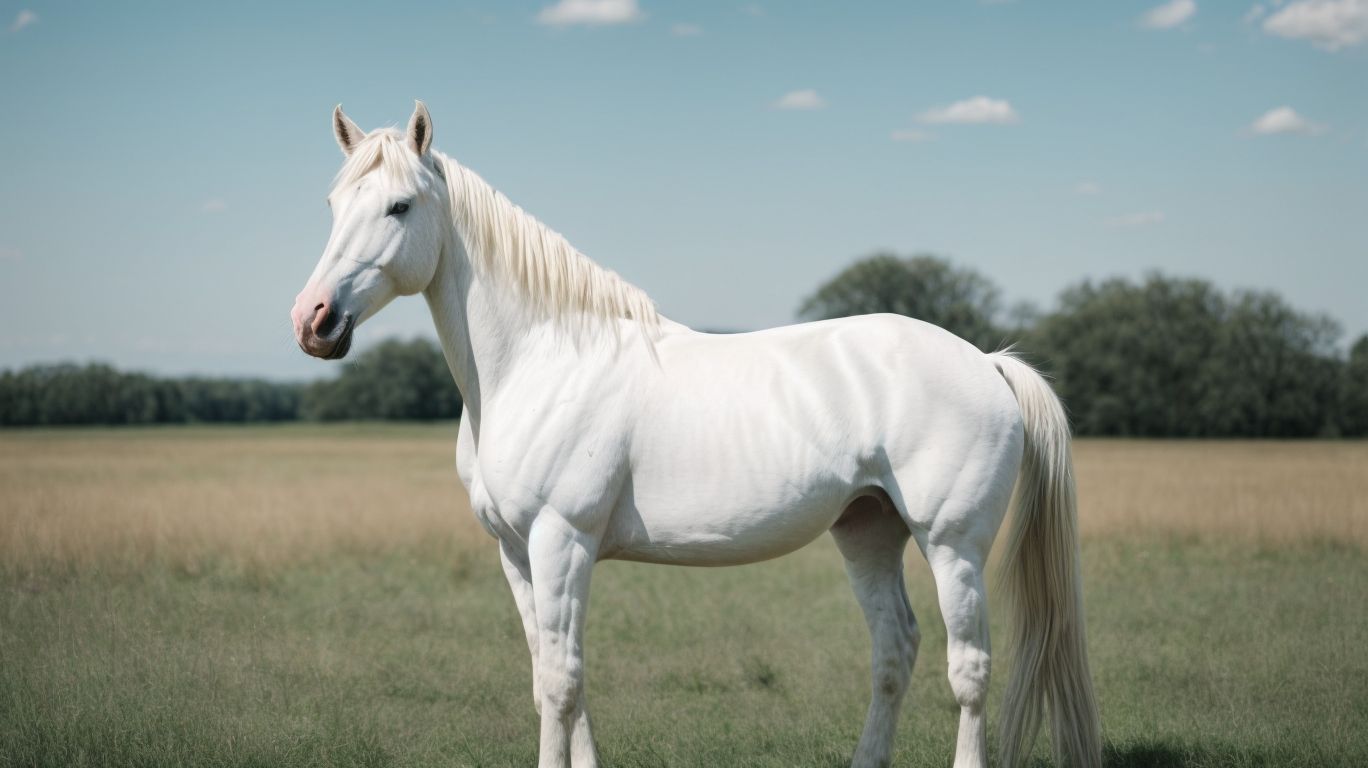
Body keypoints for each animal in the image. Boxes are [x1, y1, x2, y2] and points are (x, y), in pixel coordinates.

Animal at [290, 102, 1101, 768]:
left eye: (399, 205)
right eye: (333, 203)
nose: (313, 320)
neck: (540, 358)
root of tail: (987, 363)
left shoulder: (561, 540)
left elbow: (560, 684)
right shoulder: (517, 554)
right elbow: (556, 676)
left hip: (951, 544)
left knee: (970, 670)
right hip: (869, 530)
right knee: (894, 650)